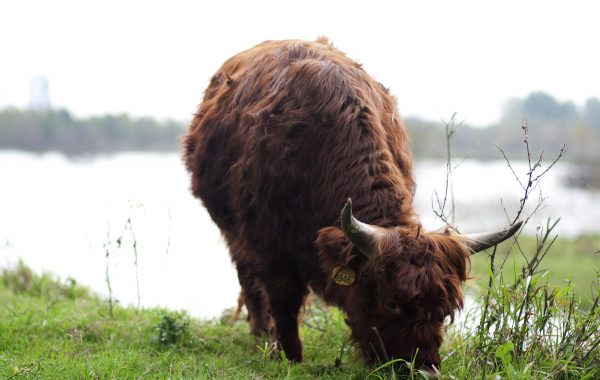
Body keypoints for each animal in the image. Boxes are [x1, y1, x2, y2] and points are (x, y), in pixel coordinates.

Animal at [183, 37, 520, 370]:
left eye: (445, 309)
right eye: (392, 303)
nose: (423, 369)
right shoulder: (269, 241)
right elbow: (284, 299)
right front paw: (289, 355)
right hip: (231, 229)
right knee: (249, 279)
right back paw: (261, 334)